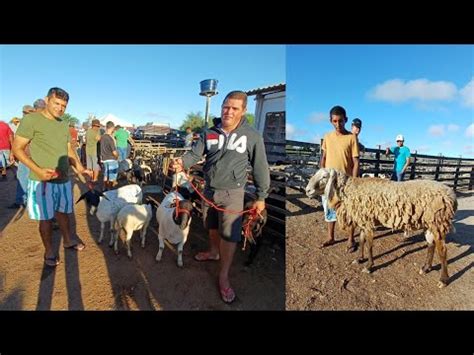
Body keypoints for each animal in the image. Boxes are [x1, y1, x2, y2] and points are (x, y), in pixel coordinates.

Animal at [306, 168, 458, 288]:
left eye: (324, 176)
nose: (307, 190)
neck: (350, 190)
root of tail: (451, 195)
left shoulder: (367, 222)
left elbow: (369, 245)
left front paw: (369, 266)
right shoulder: (363, 221)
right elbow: (362, 241)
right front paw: (359, 259)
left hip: (438, 222)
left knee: (442, 251)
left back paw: (443, 280)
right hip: (429, 223)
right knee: (431, 245)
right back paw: (426, 268)